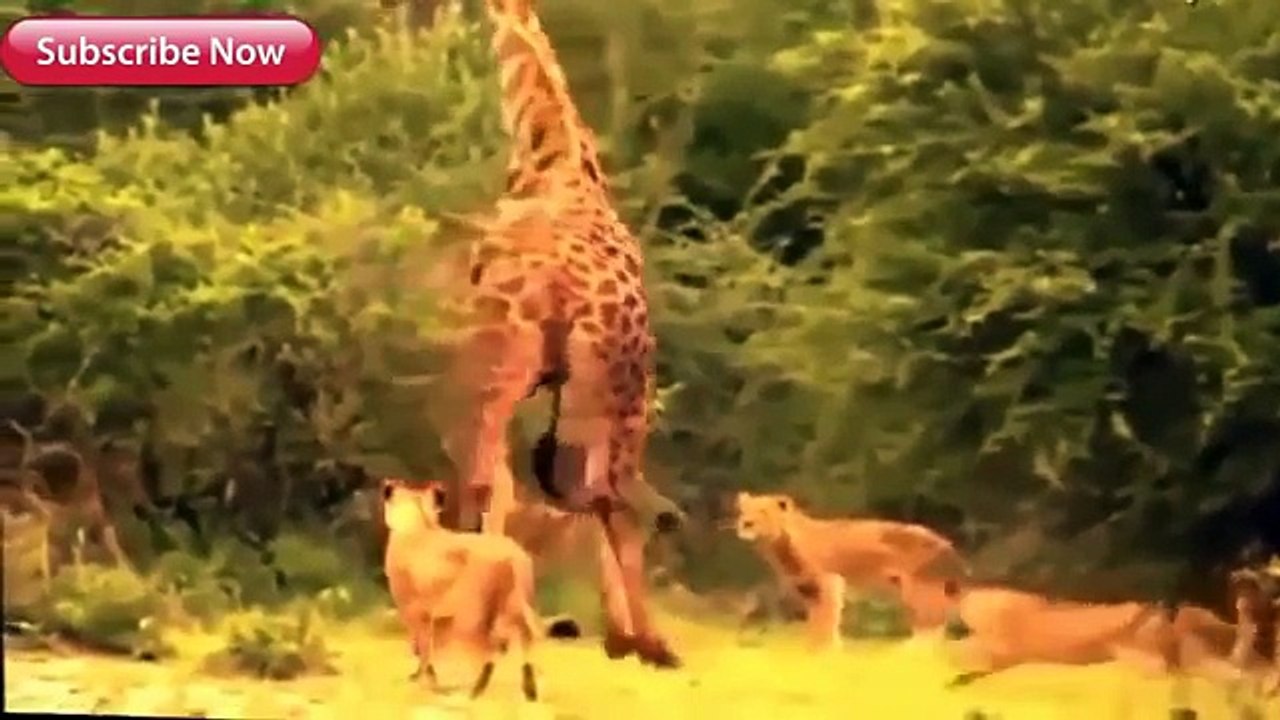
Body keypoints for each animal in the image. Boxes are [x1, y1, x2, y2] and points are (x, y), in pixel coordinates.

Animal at [381, 477, 541, 701]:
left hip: (472, 615)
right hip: (516, 605)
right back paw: (529, 691)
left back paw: (476, 690)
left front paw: (422, 679)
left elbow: (421, 645)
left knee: (491, 646)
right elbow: (428, 646)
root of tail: (511, 555)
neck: (419, 522)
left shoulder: (411, 609)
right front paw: (428, 678)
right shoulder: (435, 615)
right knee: (526, 638)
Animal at [436, 0, 681, 668]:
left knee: (511, 477)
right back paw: (645, 640)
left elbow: (514, 483)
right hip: (608, 392)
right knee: (604, 494)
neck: (549, 149)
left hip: (519, 364)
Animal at [732, 491, 968, 649]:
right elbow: (816, 618)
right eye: (744, 511)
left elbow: (828, 615)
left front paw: (826, 650)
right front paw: (813, 647)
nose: (746, 523)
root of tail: (946, 544)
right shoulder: (807, 588)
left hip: (921, 588)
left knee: (933, 624)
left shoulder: (829, 581)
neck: (779, 546)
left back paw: (910, 653)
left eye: (763, 511)